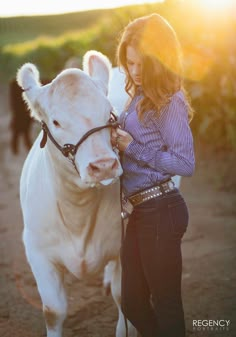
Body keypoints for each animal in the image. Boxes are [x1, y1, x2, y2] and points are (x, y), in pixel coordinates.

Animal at [17, 50, 136, 336]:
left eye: (109, 114)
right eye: (56, 121)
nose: (103, 166)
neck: (77, 210)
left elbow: (124, 300)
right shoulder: (37, 251)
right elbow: (53, 311)